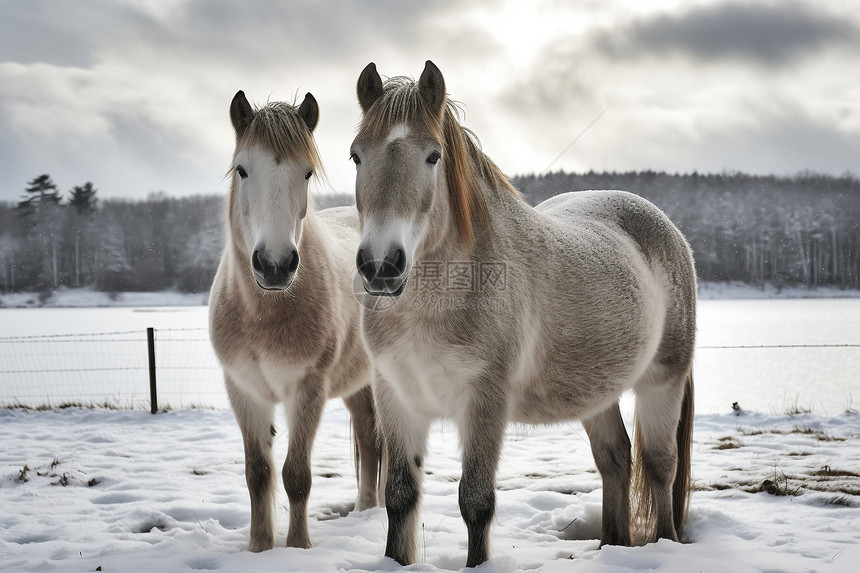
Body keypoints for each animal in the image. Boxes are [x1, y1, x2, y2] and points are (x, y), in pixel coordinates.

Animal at [208, 88, 380, 548]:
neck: (261, 315)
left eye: (306, 173)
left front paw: (298, 546)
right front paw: (260, 546)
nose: (274, 265)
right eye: (243, 170)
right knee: (368, 439)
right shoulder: (243, 390)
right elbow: (258, 474)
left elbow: (296, 475)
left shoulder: (307, 389)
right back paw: (364, 511)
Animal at [352, 62, 696, 568]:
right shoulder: (397, 397)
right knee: (615, 459)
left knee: (659, 467)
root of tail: (668, 230)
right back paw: (612, 545)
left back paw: (664, 542)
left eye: (433, 156)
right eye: (356, 155)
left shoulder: (484, 402)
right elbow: (399, 496)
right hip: (598, 393)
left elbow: (476, 501)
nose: (380, 266)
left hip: (662, 383)